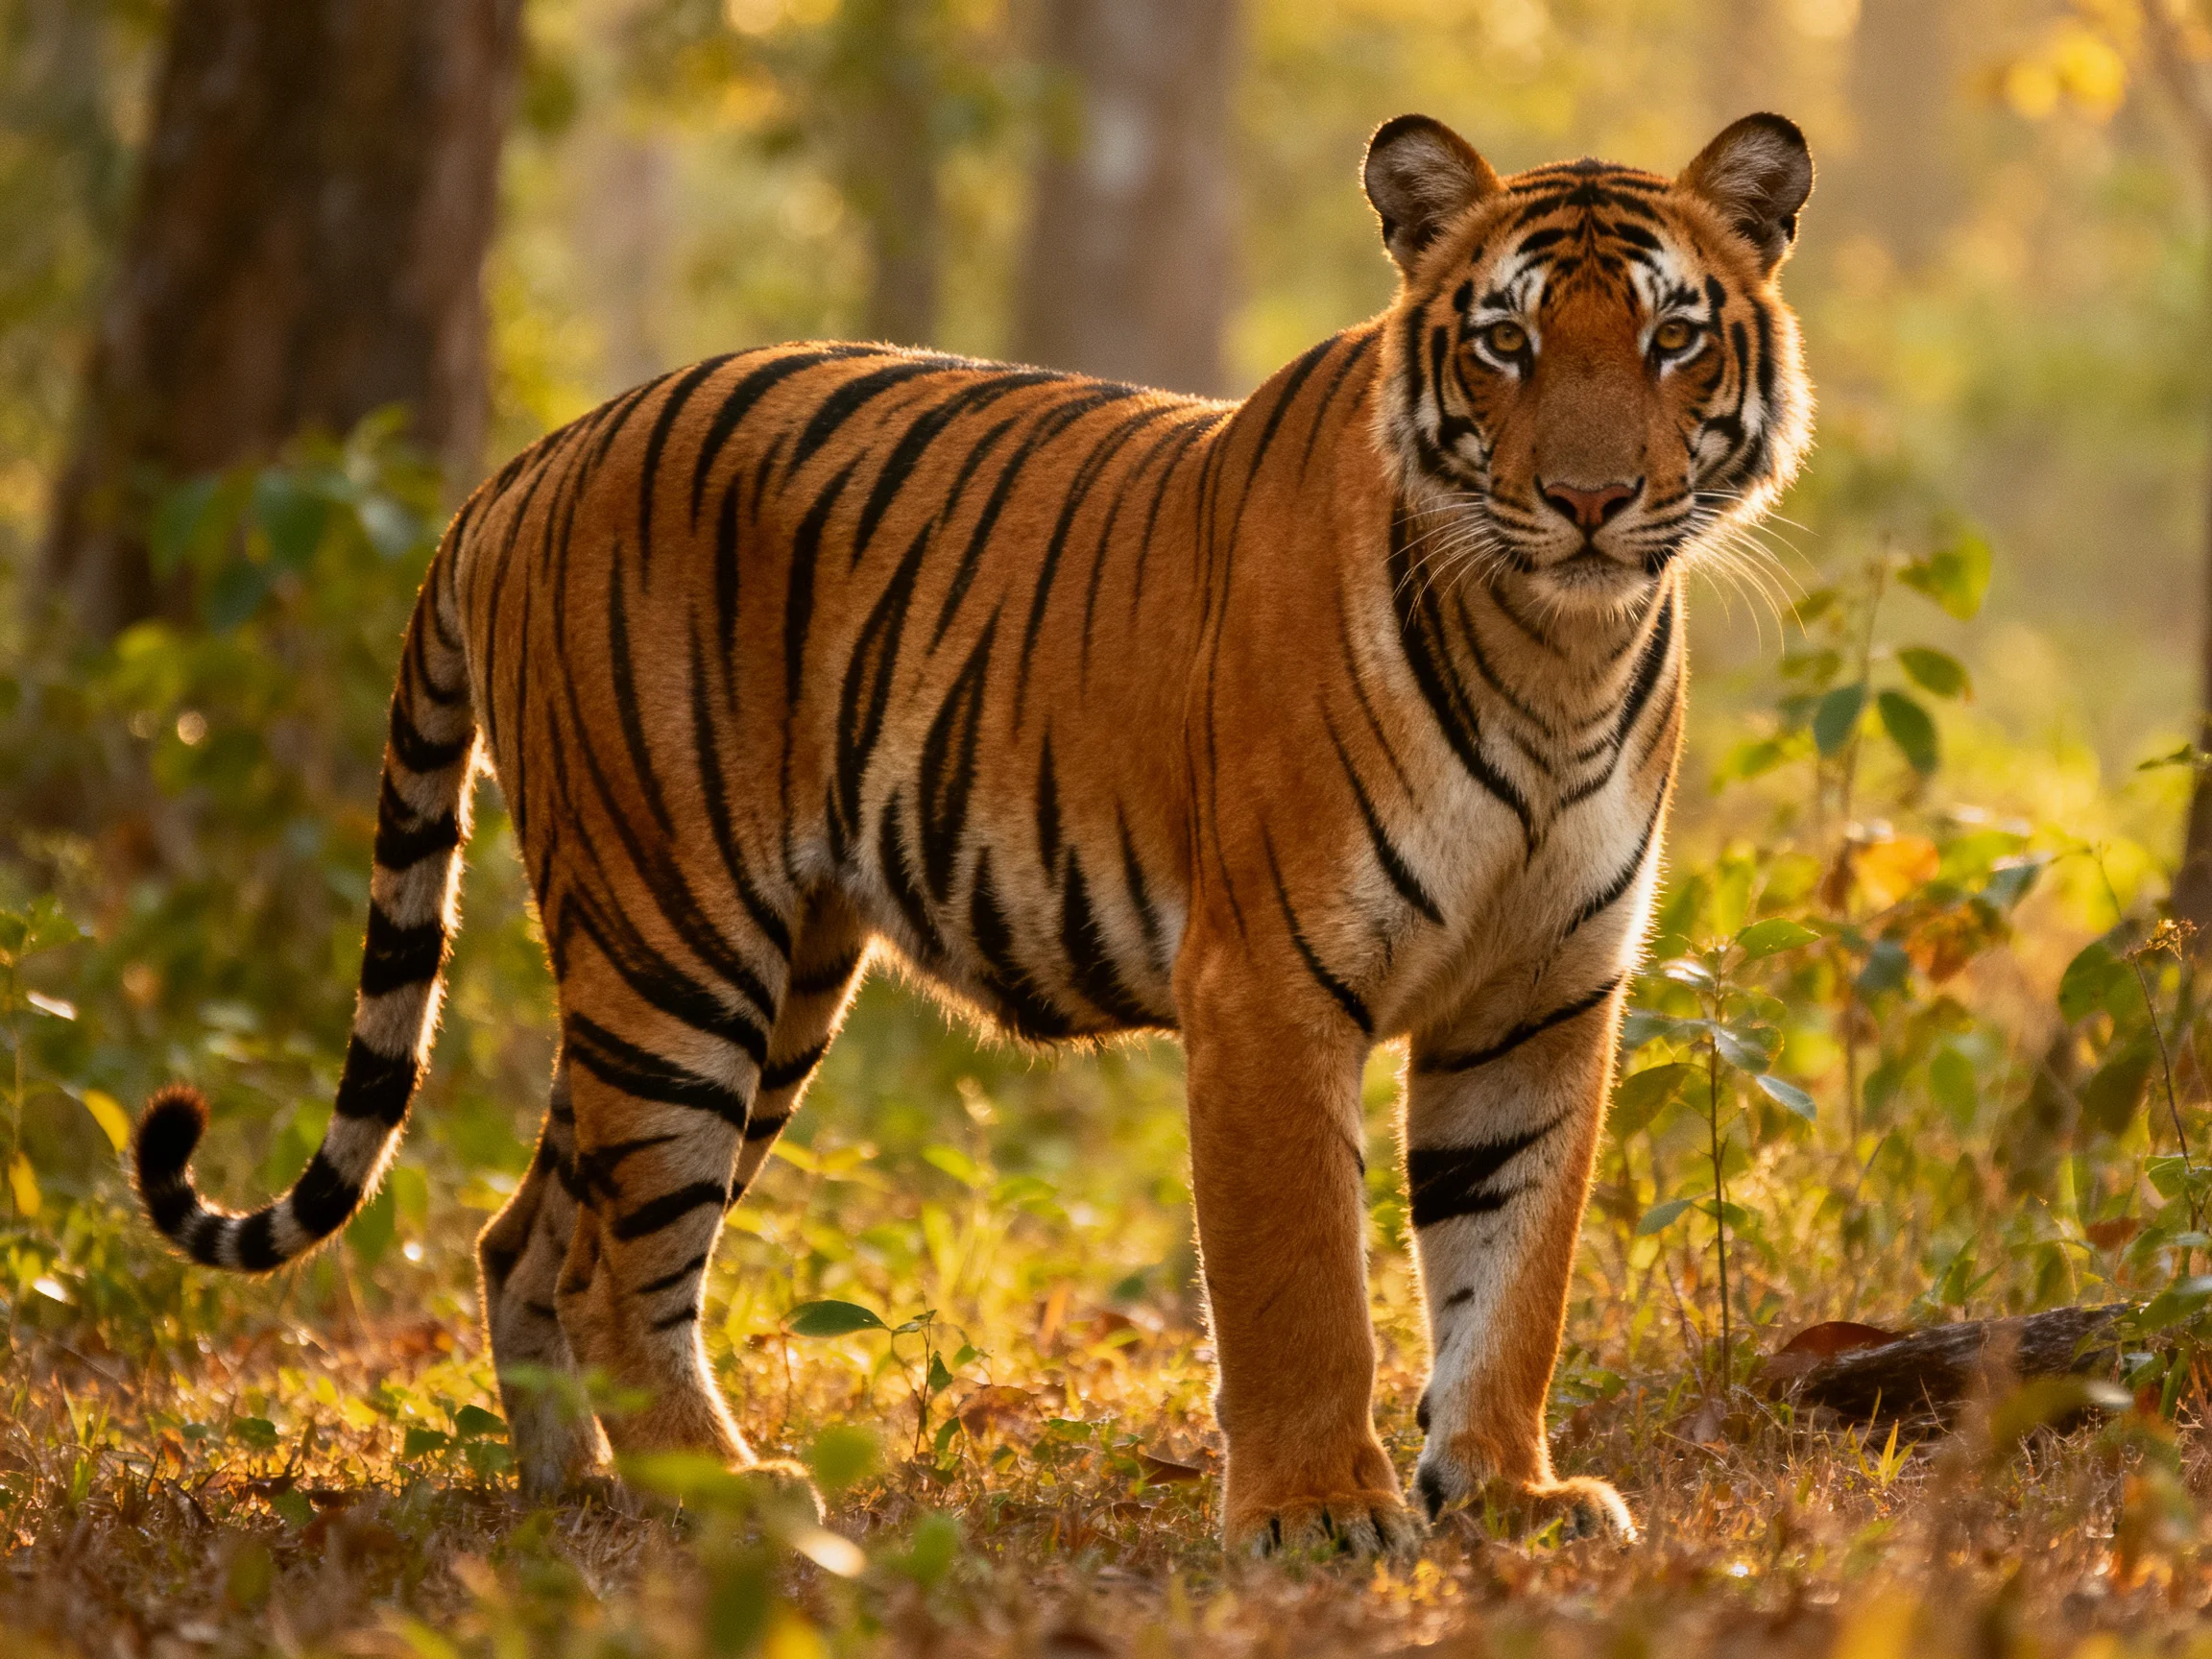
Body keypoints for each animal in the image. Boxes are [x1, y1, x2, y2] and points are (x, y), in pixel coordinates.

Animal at [134, 111, 1813, 1555]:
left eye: (1671, 337)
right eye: (1504, 342)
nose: (1591, 498)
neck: (1556, 650)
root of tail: (526, 465)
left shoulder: (1539, 998)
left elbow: (1511, 1273)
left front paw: (1508, 1493)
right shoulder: (1270, 987)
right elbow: (1302, 1287)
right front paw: (1318, 1513)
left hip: (756, 979)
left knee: (527, 1233)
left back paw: (583, 1493)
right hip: (679, 943)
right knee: (619, 1262)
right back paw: (732, 1497)